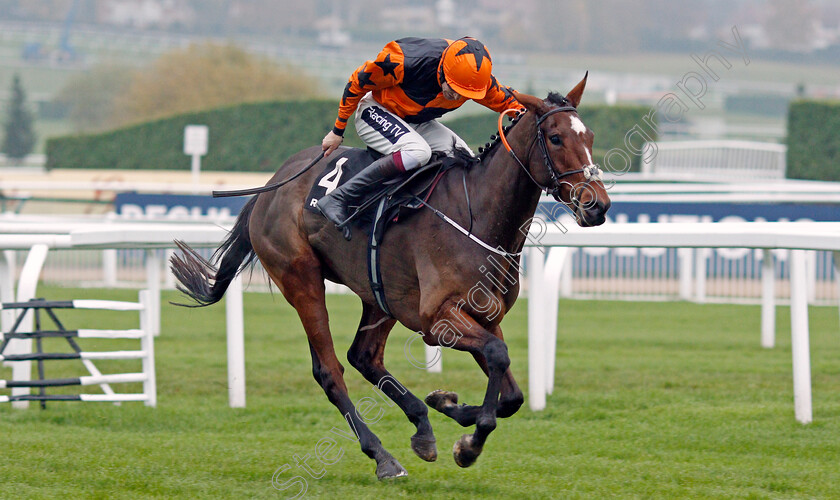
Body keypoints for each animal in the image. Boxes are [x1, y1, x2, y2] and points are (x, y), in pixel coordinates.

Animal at [171, 75, 612, 480]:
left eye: (589, 136)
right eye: (555, 138)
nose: (598, 205)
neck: (478, 214)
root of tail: (270, 187)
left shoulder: (484, 315)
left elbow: (512, 393)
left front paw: (447, 405)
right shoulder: (437, 318)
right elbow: (498, 357)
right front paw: (469, 442)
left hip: (379, 294)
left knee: (364, 356)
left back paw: (422, 426)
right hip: (301, 279)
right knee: (330, 370)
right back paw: (382, 456)